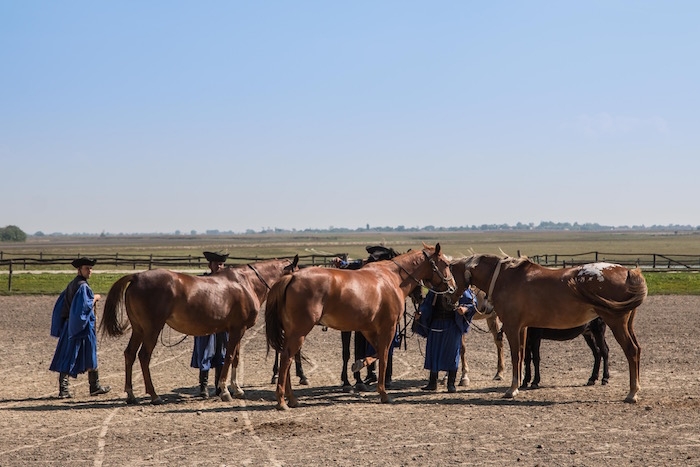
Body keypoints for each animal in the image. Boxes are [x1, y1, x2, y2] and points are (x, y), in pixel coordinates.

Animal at [101, 256, 298, 406]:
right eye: (296, 272)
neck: (246, 283)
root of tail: (136, 277)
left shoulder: (237, 330)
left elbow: (236, 357)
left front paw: (237, 389)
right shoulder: (237, 330)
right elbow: (229, 357)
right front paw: (225, 391)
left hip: (139, 329)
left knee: (130, 354)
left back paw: (131, 394)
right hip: (152, 329)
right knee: (143, 356)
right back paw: (155, 396)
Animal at [266, 245, 454, 410]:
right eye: (445, 264)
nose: (452, 287)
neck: (391, 279)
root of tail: (291, 277)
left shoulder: (368, 329)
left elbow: (375, 353)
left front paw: (360, 366)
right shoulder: (388, 328)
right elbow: (384, 356)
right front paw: (383, 393)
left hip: (291, 332)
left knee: (287, 358)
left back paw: (291, 398)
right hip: (299, 332)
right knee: (287, 358)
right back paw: (282, 400)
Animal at [452, 254, 648, 404]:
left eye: (449, 274)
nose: (450, 299)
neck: (505, 278)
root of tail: (628, 272)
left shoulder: (512, 327)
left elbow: (516, 356)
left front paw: (512, 389)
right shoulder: (523, 329)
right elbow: (524, 357)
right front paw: (522, 383)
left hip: (615, 324)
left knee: (629, 351)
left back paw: (632, 392)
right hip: (621, 326)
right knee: (635, 350)